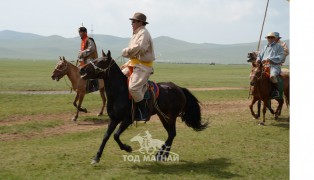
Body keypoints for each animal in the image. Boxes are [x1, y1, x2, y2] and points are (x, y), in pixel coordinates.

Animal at [79, 50, 209, 164]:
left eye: (100, 61)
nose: (82, 69)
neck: (119, 92)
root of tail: (179, 89)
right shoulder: (114, 119)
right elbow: (106, 137)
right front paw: (97, 157)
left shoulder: (127, 119)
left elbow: (115, 135)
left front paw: (127, 148)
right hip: (163, 116)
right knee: (170, 133)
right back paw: (161, 154)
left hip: (171, 116)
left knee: (172, 133)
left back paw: (162, 155)